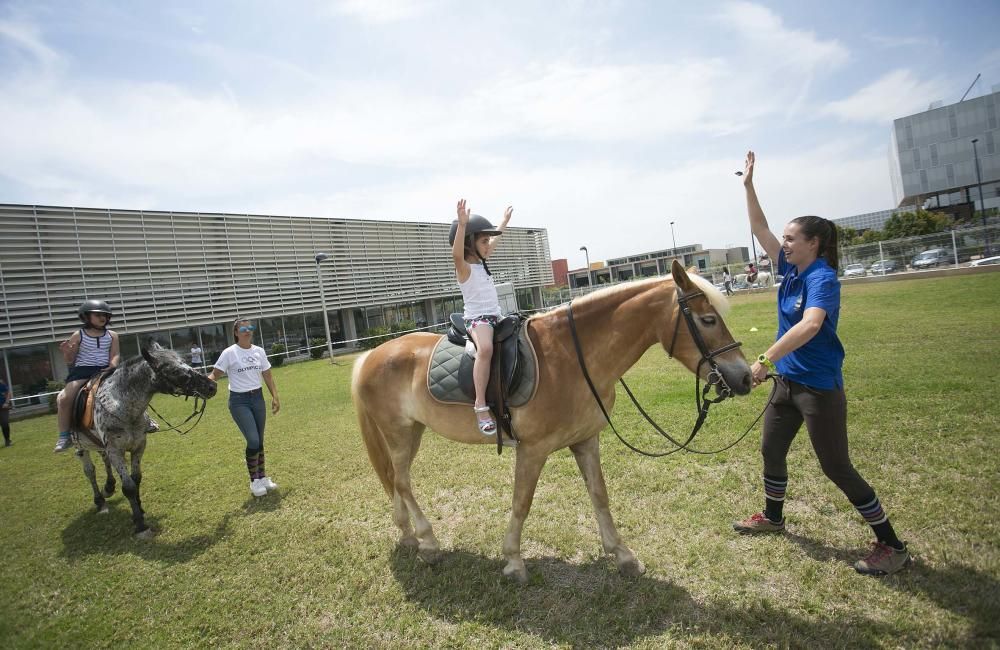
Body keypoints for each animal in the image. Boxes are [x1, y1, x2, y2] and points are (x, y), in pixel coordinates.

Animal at [75, 342, 220, 536]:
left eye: (183, 361)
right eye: (173, 370)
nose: (212, 386)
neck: (123, 408)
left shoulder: (139, 445)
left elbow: (136, 479)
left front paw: (140, 510)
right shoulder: (115, 450)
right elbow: (128, 486)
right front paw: (139, 524)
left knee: (104, 461)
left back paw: (109, 487)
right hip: (81, 447)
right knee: (90, 471)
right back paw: (100, 501)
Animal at [352, 260, 752, 580]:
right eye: (708, 319)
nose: (746, 377)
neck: (572, 356)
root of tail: (371, 355)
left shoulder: (585, 441)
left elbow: (599, 495)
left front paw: (623, 555)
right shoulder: (533, 449)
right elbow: (522, 502)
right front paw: (514, 561)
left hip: (412, 432)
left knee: (396, 481)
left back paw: (409, 537)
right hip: (399, 433)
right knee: (402, 481)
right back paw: (429, 542)